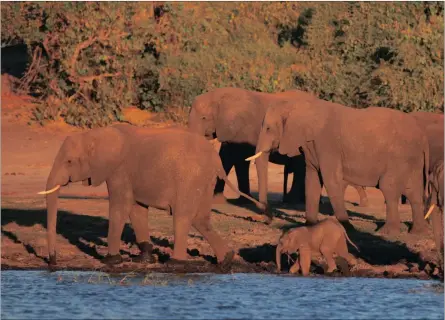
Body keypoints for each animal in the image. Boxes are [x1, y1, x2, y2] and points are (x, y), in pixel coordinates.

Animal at [38, 124, 262, 268]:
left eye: (69, 161)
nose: (52, 262)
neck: (94, 134)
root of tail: (215, 159)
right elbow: (136, 209)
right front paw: (143, 259)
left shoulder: (118, 170)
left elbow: (120, 207)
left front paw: (110, 261)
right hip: (205, 181)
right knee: (201, 219)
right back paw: (226, 260)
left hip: (189, 179)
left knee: (182, 217)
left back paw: (175, 264)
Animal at [186, 86, 366, 214]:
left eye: (204, 118)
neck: (219, 96)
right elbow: (228, 157)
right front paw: (227, 201)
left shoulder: (240, 129)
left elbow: (233, 157)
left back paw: (294, 201)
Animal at [246, 99, 430, 234]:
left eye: (268, 128)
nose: (267, 220)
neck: (301, 107)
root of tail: (421, 136)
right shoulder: (311, 146)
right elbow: (312, 181)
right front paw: (310, 226)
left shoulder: (327, 145)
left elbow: (331, 180)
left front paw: (348, 228)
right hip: (411, 159)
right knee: (413, 192)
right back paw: (417, 232)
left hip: (399, 157)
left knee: (389, 187)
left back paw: (386, 232)